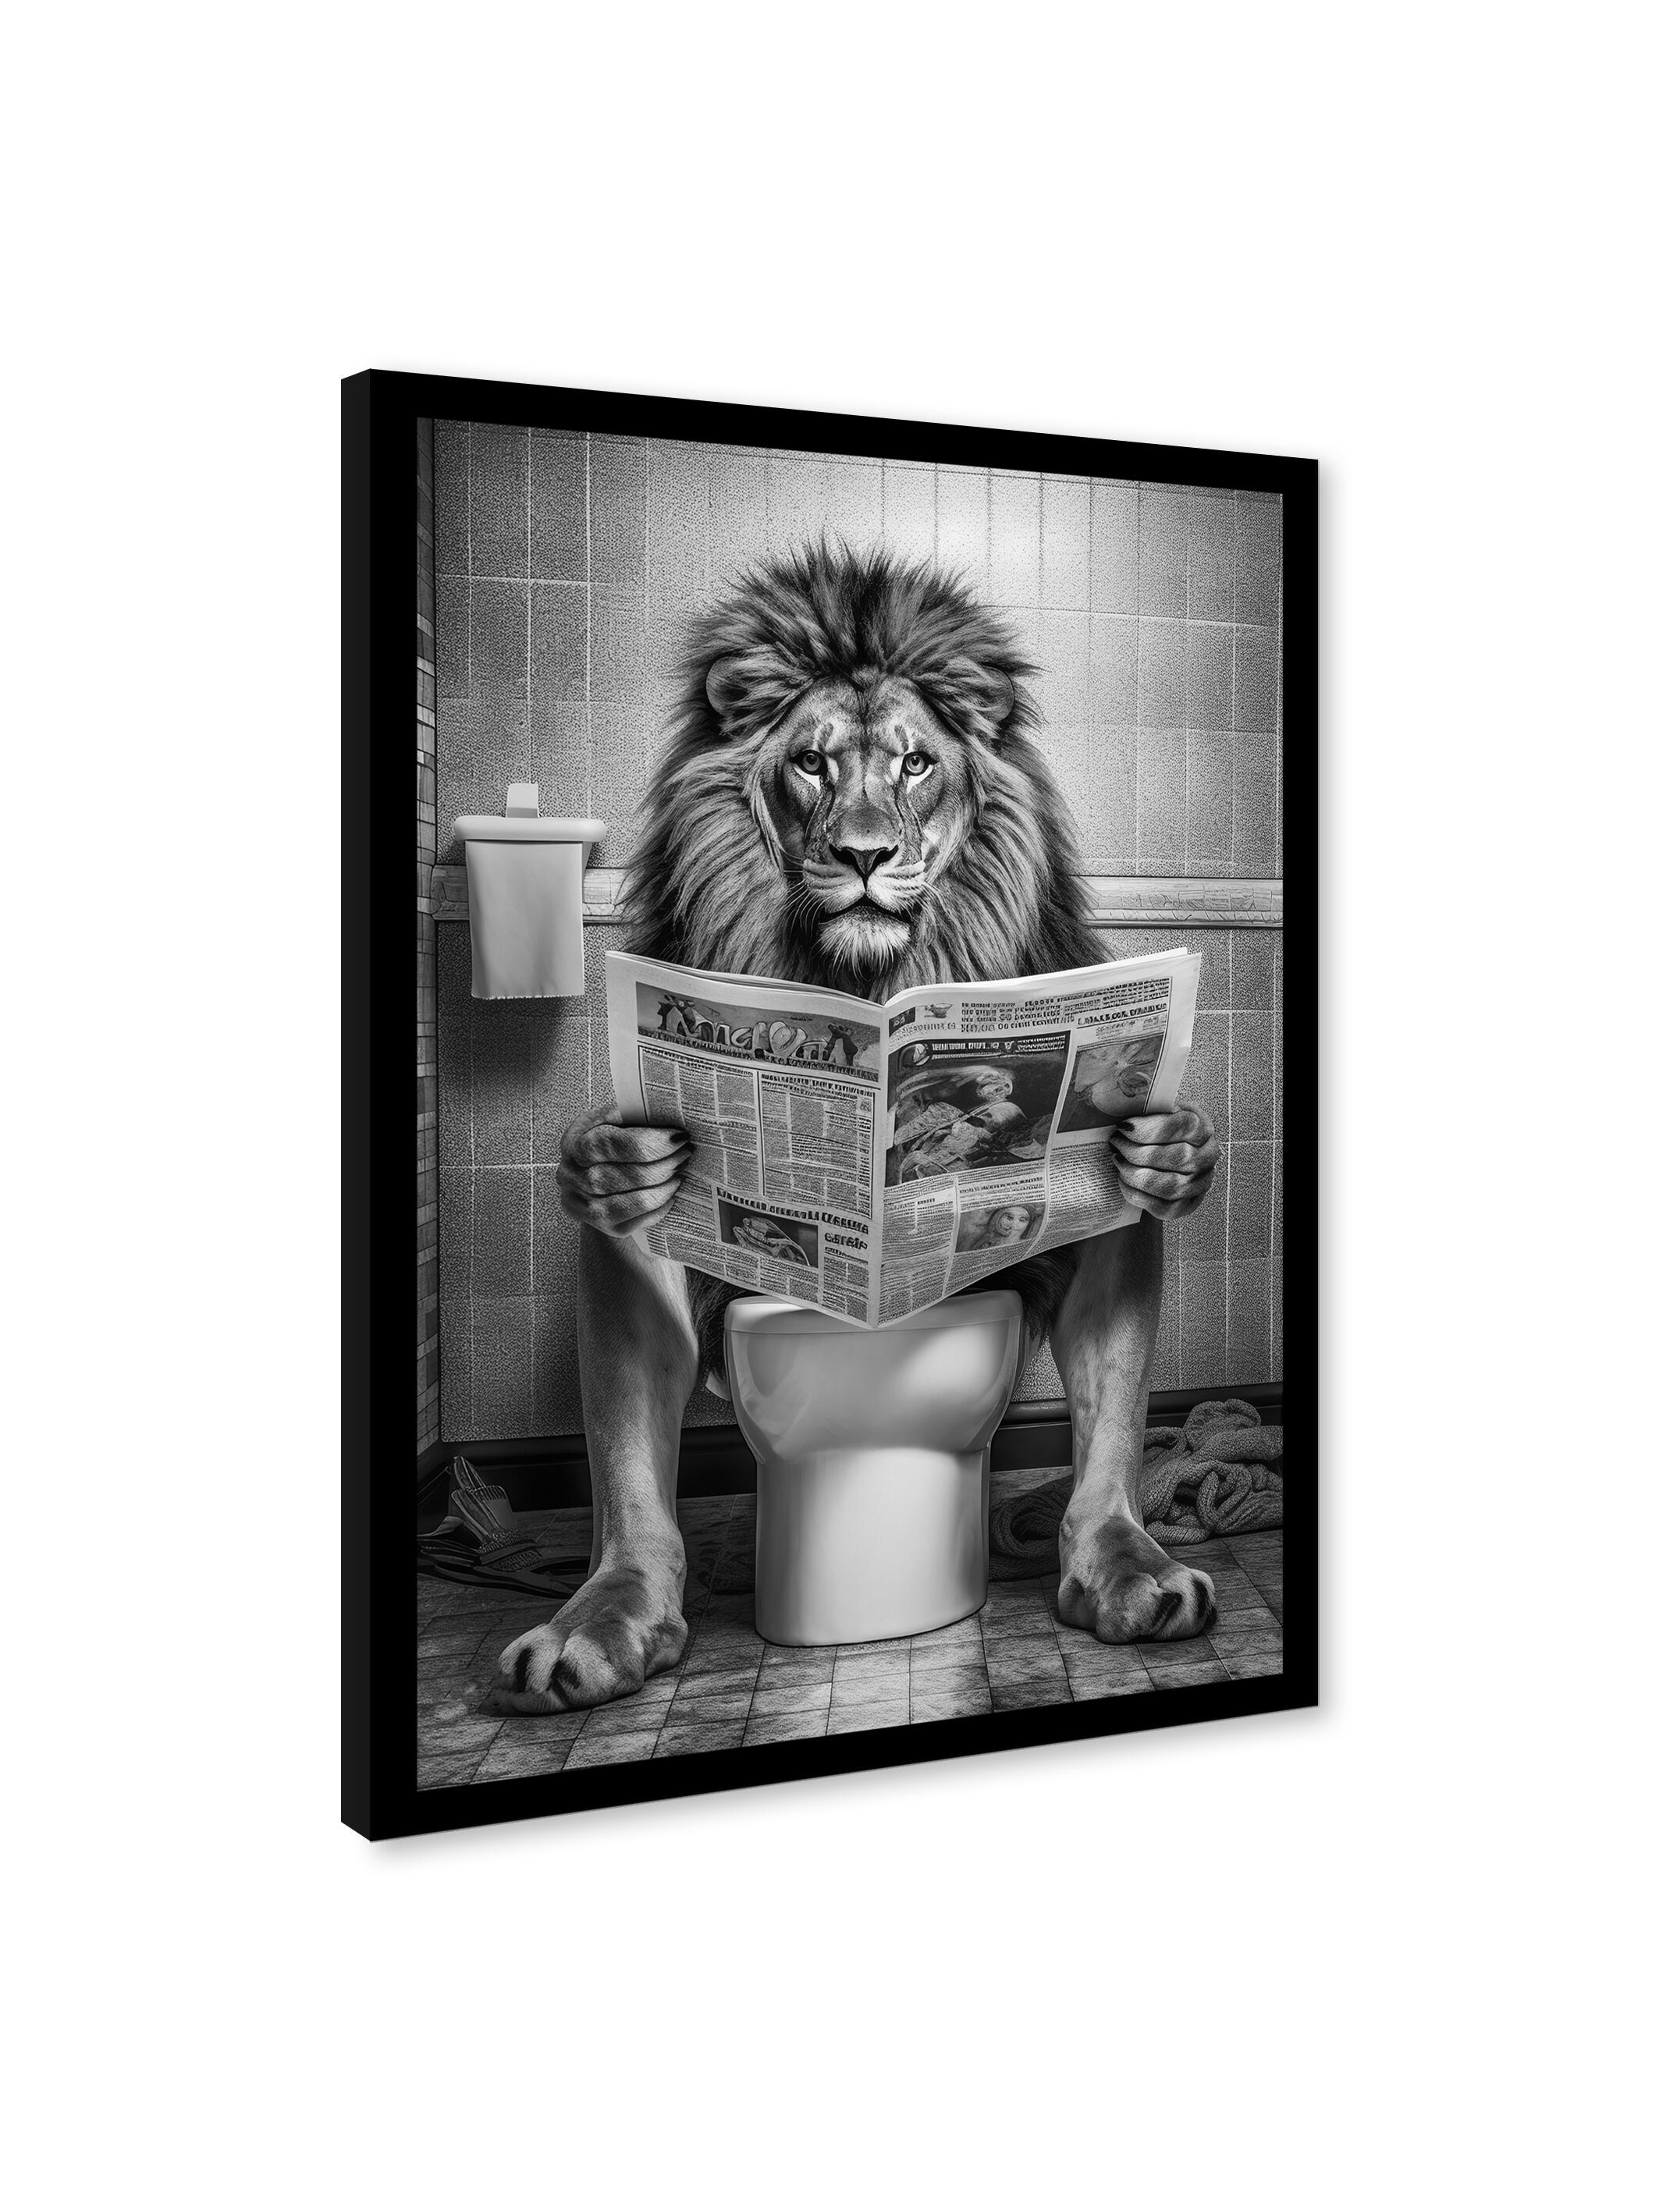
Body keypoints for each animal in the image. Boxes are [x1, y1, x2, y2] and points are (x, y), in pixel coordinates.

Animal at [493, 543, 1221, 1715]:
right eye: (811, 765)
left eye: (917, 764)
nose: (866, 854)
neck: (872, 980)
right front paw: (609, 1162)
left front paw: (1171, 1148)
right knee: (636, 1428)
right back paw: (596, 1625)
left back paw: (1130, 1570)